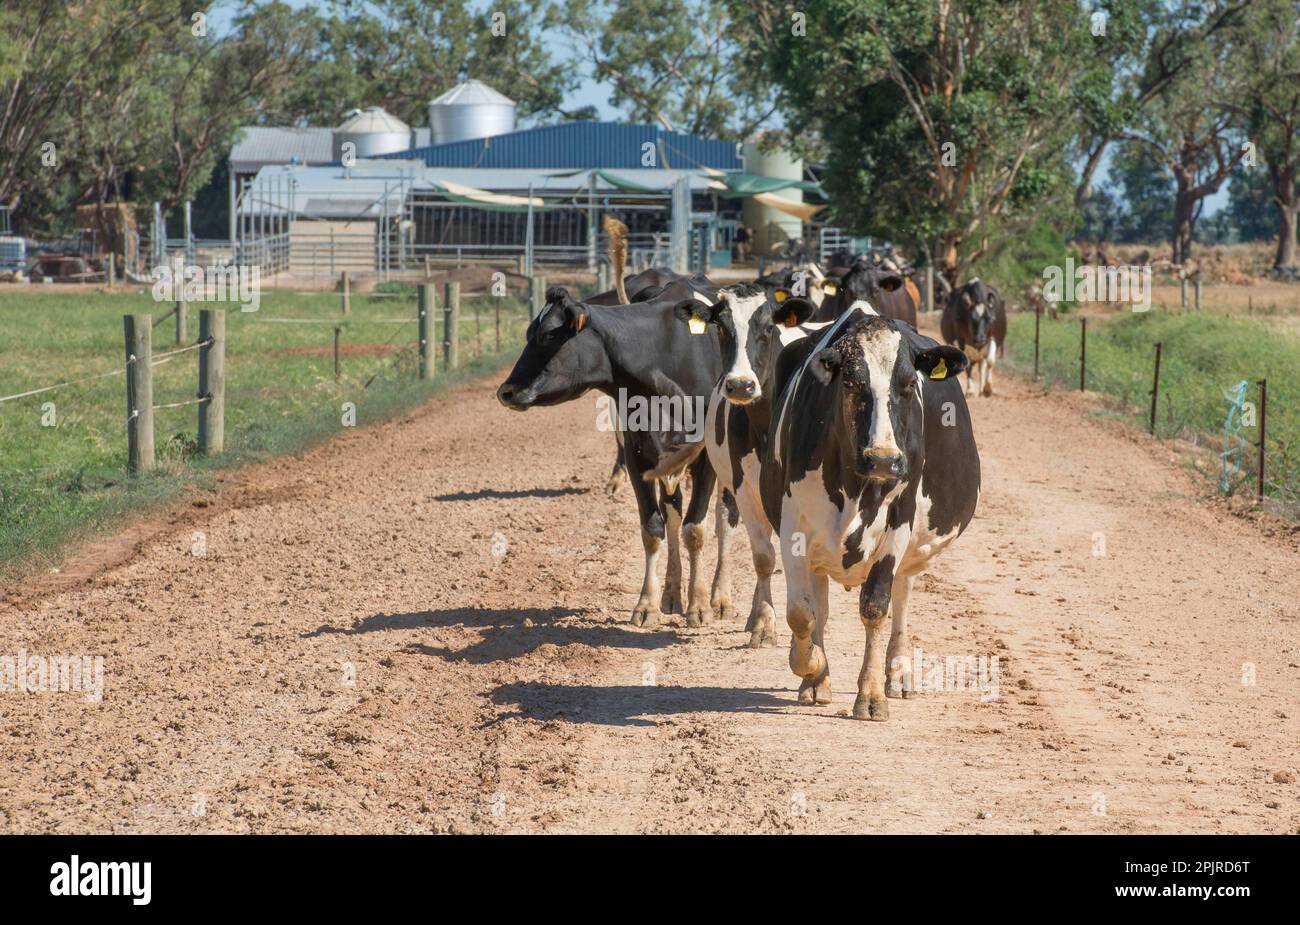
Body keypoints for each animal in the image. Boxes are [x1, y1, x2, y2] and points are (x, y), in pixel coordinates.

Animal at [497, 284, 727, 628]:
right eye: (528, 333)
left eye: (549, 335)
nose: (506, 391)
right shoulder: (637, 456)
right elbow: (653, 528)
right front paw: (647, 604)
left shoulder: (706, 460)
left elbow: (695, 529)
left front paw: (699, 605)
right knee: (672, 513)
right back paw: (672, 594)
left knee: (726, 516)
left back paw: (721, 598)